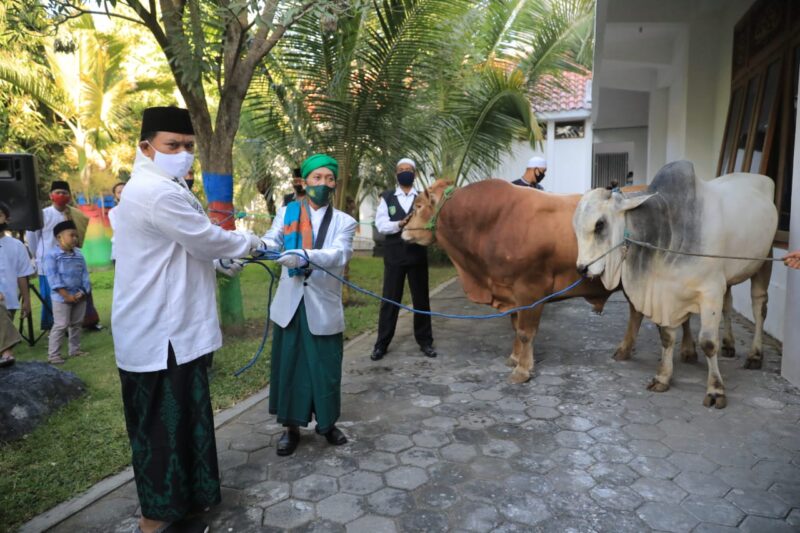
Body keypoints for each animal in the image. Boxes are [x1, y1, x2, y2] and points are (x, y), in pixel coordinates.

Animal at [404, 179, 696, 382]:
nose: (403, 230)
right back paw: (627, 350)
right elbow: (516, 327)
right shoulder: (511, 292)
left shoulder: (530, 289)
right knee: (638, 311)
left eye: (418, 206)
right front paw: (515, 358)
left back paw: (687, 351)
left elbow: (525, 332)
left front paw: (523, 370)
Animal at [572, 159, 780, 408]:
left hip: (764, 260)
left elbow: (708, 342)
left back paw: (755, 355)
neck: (666, 233)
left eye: (600, 224)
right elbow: (667, 337)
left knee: (759, 307)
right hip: (728, 277)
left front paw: (716, 390)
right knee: (728, 305)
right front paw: (663, 377)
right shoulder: (669, 293)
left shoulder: (710, 291)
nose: (582, 268)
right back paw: (729, 345)